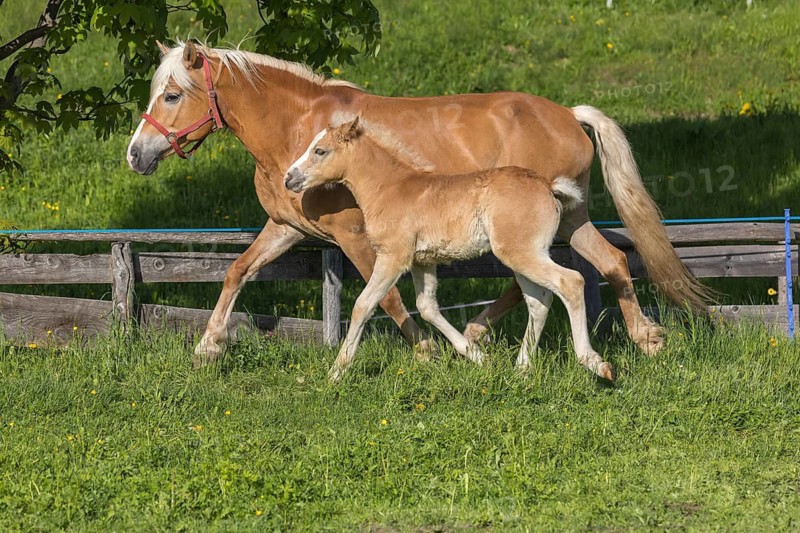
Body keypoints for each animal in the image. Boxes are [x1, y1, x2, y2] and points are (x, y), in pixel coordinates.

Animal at [284, 117, 616, 382]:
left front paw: (336, 372)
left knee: (570, 282)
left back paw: (594, 363)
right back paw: (521, 368)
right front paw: (477, 356)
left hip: (521, 253)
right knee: (539, 301)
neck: (390, 188)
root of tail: (549, 187)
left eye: (320, 150)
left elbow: (363, 305)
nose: (289, 178)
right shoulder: (423, 262)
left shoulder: (393, 257)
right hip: (525, 255)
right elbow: (427, 307)